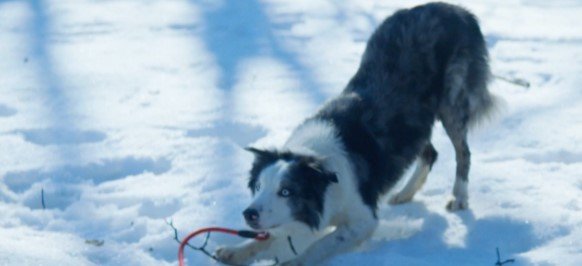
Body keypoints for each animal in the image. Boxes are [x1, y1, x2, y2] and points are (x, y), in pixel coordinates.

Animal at [218, 2, 498, 266]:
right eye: (258, 186)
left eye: (286, 191)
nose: (249, 214)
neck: (320, 167)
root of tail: (455, 9)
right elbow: (263, 239)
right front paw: (235, 251)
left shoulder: (363, 220)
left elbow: (321, 245)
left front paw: (294, 262)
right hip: (415, 121)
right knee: (429, 151)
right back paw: (405, 193)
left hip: (451, 101)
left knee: (463, 152)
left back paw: (459, 197)